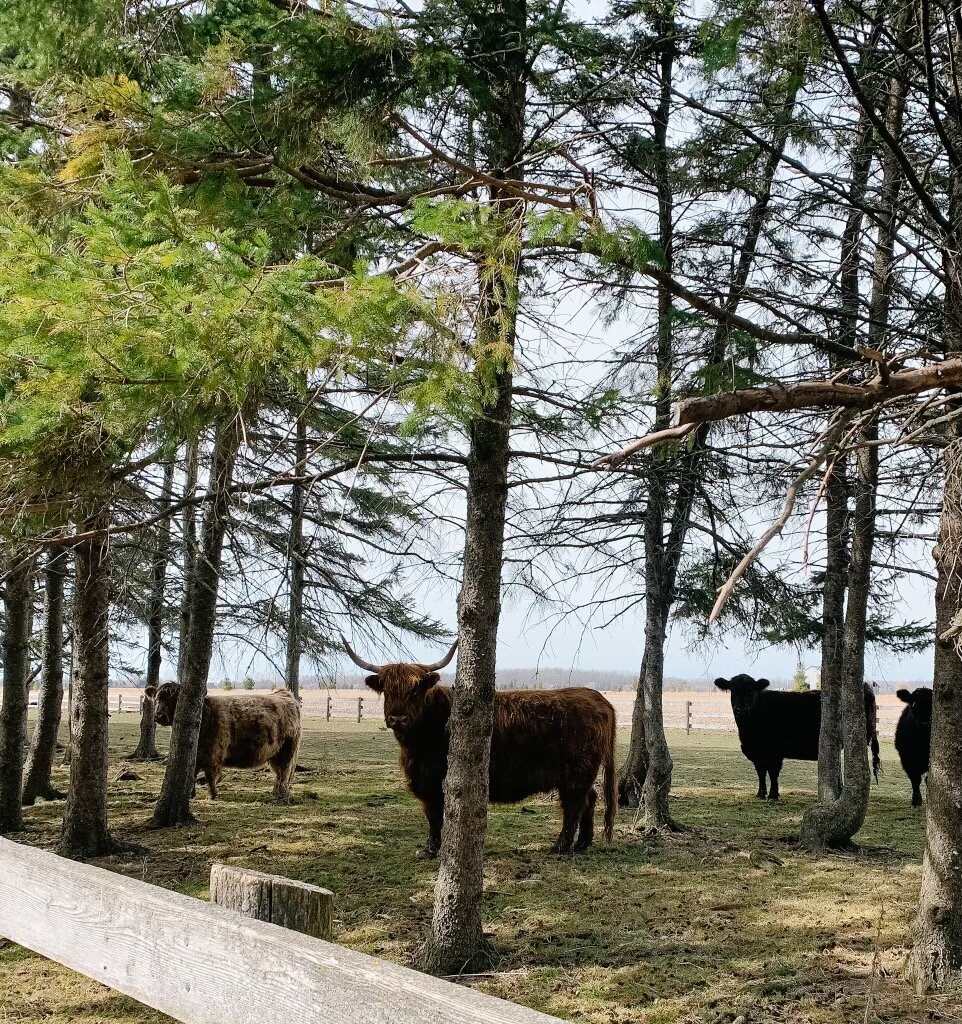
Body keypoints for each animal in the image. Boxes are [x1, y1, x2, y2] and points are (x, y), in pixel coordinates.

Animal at [146, 682, 301, 802]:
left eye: (175, 700)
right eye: (157, 698)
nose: (159, 716)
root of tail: (284, 694)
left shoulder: (212, 754)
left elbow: (210, 776)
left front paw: (212, 795)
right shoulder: (197, 755)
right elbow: (192, 774)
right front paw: (190, 794)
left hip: (287, 749)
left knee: (284, 771)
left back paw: (281, 794)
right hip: (276, 753)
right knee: (279, 771)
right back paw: (276, 792)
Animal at [342, 638, 617, 856]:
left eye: (416, 691)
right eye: (388, 691)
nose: (398, 719)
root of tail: (597, 697)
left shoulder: (434, 781)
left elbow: (434, 816)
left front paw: (433, 849)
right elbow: (432, 816)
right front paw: (431, 848)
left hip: (576, 771)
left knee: (574, 804)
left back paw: (560, 847)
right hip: (580, 773)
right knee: (590, 798)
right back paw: (582, 843)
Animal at [713, 674, 881, 800]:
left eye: (751, 692)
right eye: (733, 691)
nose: (741, 710)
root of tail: (865, 687)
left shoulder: (774, 752)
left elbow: (773, 772)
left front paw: (773, 795)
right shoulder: (757, 752)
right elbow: (761, 772)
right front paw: (761, 794)